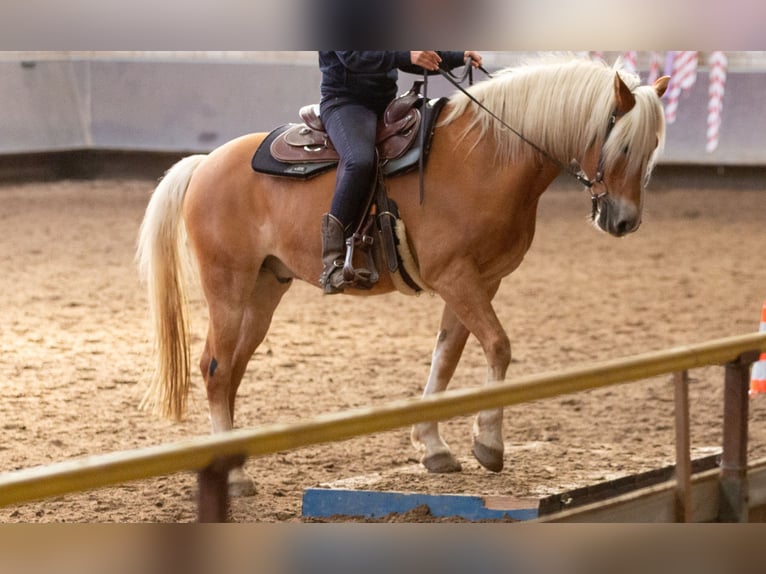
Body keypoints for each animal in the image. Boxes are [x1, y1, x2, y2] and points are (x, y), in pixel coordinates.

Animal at [136, 55, 670, 496]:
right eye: (622, 146)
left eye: (651, 149)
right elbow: (498, 346)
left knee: (232, 372)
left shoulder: (479, 281)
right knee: (215, 368)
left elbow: (447, 356)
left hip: (264, 290)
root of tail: (205, 164)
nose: (624, 222)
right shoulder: (456, 277)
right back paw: (233, 480)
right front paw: (489, 444)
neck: (487, 158)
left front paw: (434, 447)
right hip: (228, 285)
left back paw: (236, 469)